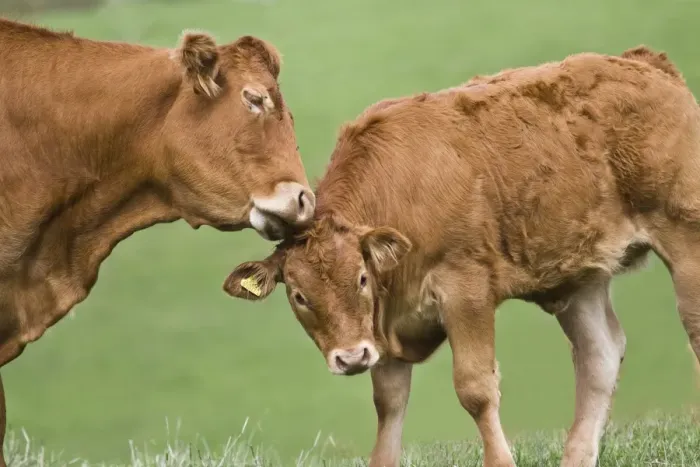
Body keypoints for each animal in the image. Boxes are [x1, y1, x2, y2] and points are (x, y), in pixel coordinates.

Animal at [224, 46, 700, 467]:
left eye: (360, 278)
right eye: (299, 296)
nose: (351, 357)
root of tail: (645, 64)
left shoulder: (465, 289)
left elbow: (475, 389)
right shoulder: (384, 326)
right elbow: (389, 403)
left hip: (684, 237)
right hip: (579, 275)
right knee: (599, 353)